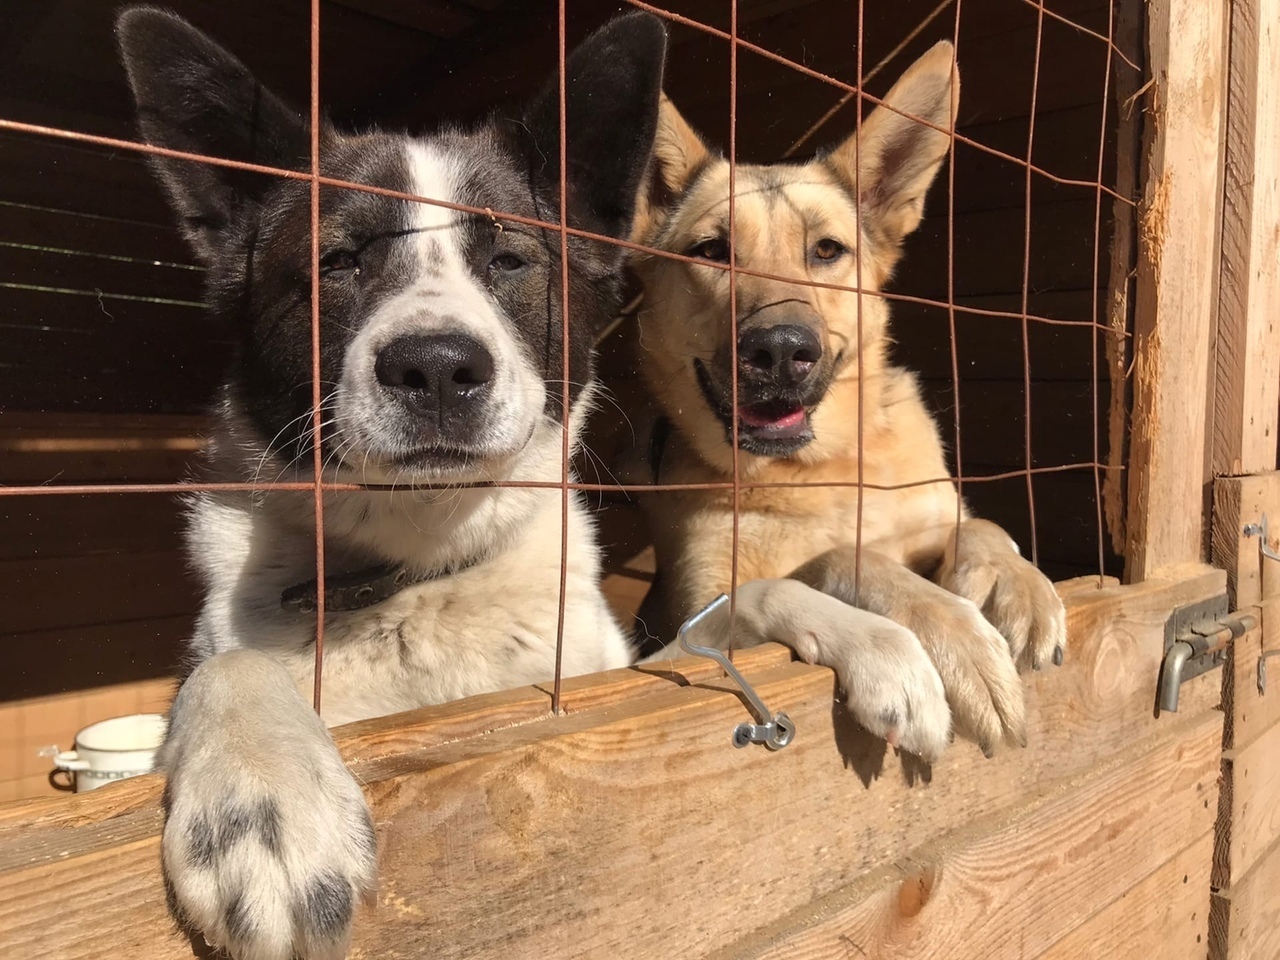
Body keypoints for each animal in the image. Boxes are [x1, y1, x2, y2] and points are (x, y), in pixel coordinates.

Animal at [120, 9, 957, 960]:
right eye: (337, 261)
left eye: (511, 260)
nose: (436, 367)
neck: (430, 563)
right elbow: (231, 666)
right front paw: (264, 800)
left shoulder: (624, 666)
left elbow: (745, 603)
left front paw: (885, 645)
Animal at [627, 41, 1059, 762]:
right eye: (712, 250)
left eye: (827, 250)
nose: (779, 350)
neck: (822, 469)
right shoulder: (688, 623)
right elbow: (842, 559)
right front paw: (951, 632)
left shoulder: (934, 509)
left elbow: (978, 524)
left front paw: (1012, 579)